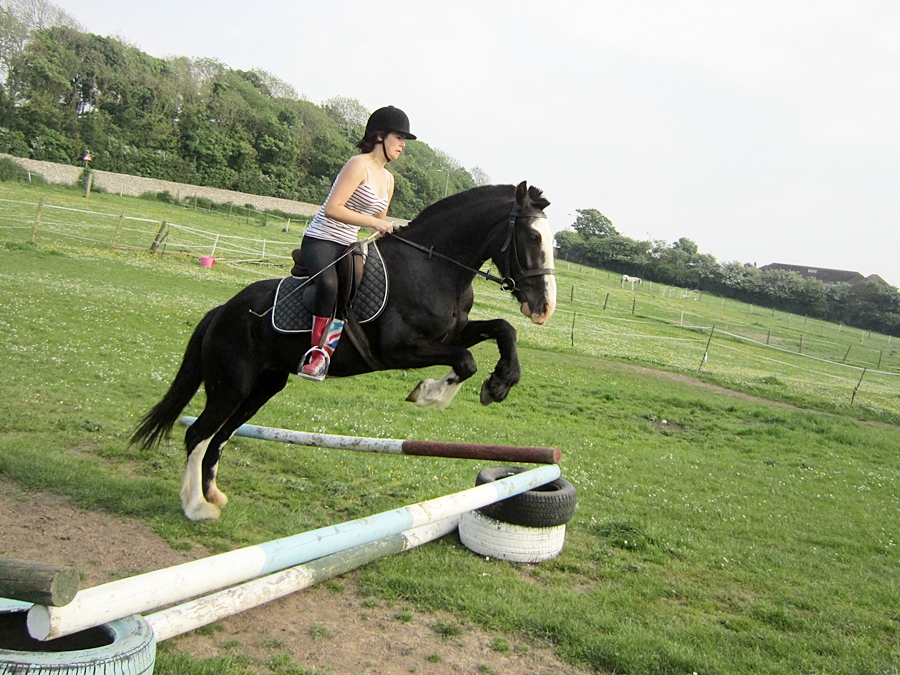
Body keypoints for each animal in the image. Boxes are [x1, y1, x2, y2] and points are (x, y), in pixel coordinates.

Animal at [131, 182, 557, 520]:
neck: (433, 266)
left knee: (219, 437)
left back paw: (213, 496)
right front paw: (430, 393)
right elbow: (465, 361)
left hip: (262, 387)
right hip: (231, 385)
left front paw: (499, 384)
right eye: (532, 237)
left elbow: (502, 330)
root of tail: (222, 310)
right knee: (199, 435)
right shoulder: (398, 349)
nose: (544, 308)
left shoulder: (454, 332)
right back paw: (196, 506)